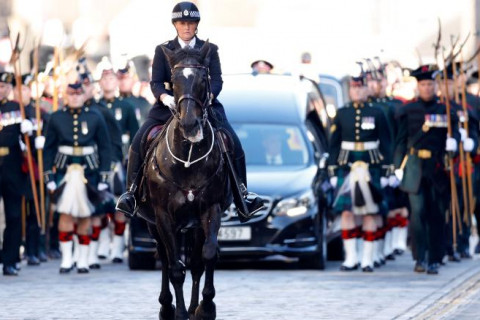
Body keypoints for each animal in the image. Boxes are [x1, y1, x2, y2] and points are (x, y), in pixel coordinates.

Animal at [141, 40, 232, 320]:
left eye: (203, 78)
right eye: (173, 79)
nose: (190, 125)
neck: (188, 159)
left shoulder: (210, 209)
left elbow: (207, 256)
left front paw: (206, 307)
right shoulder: (163, 216)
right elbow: (175, 268)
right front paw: (179, 312)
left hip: (193, 225)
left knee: (195, 263)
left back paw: (193, 307)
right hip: (154, 223)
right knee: (164, 258)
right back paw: (166, 306)